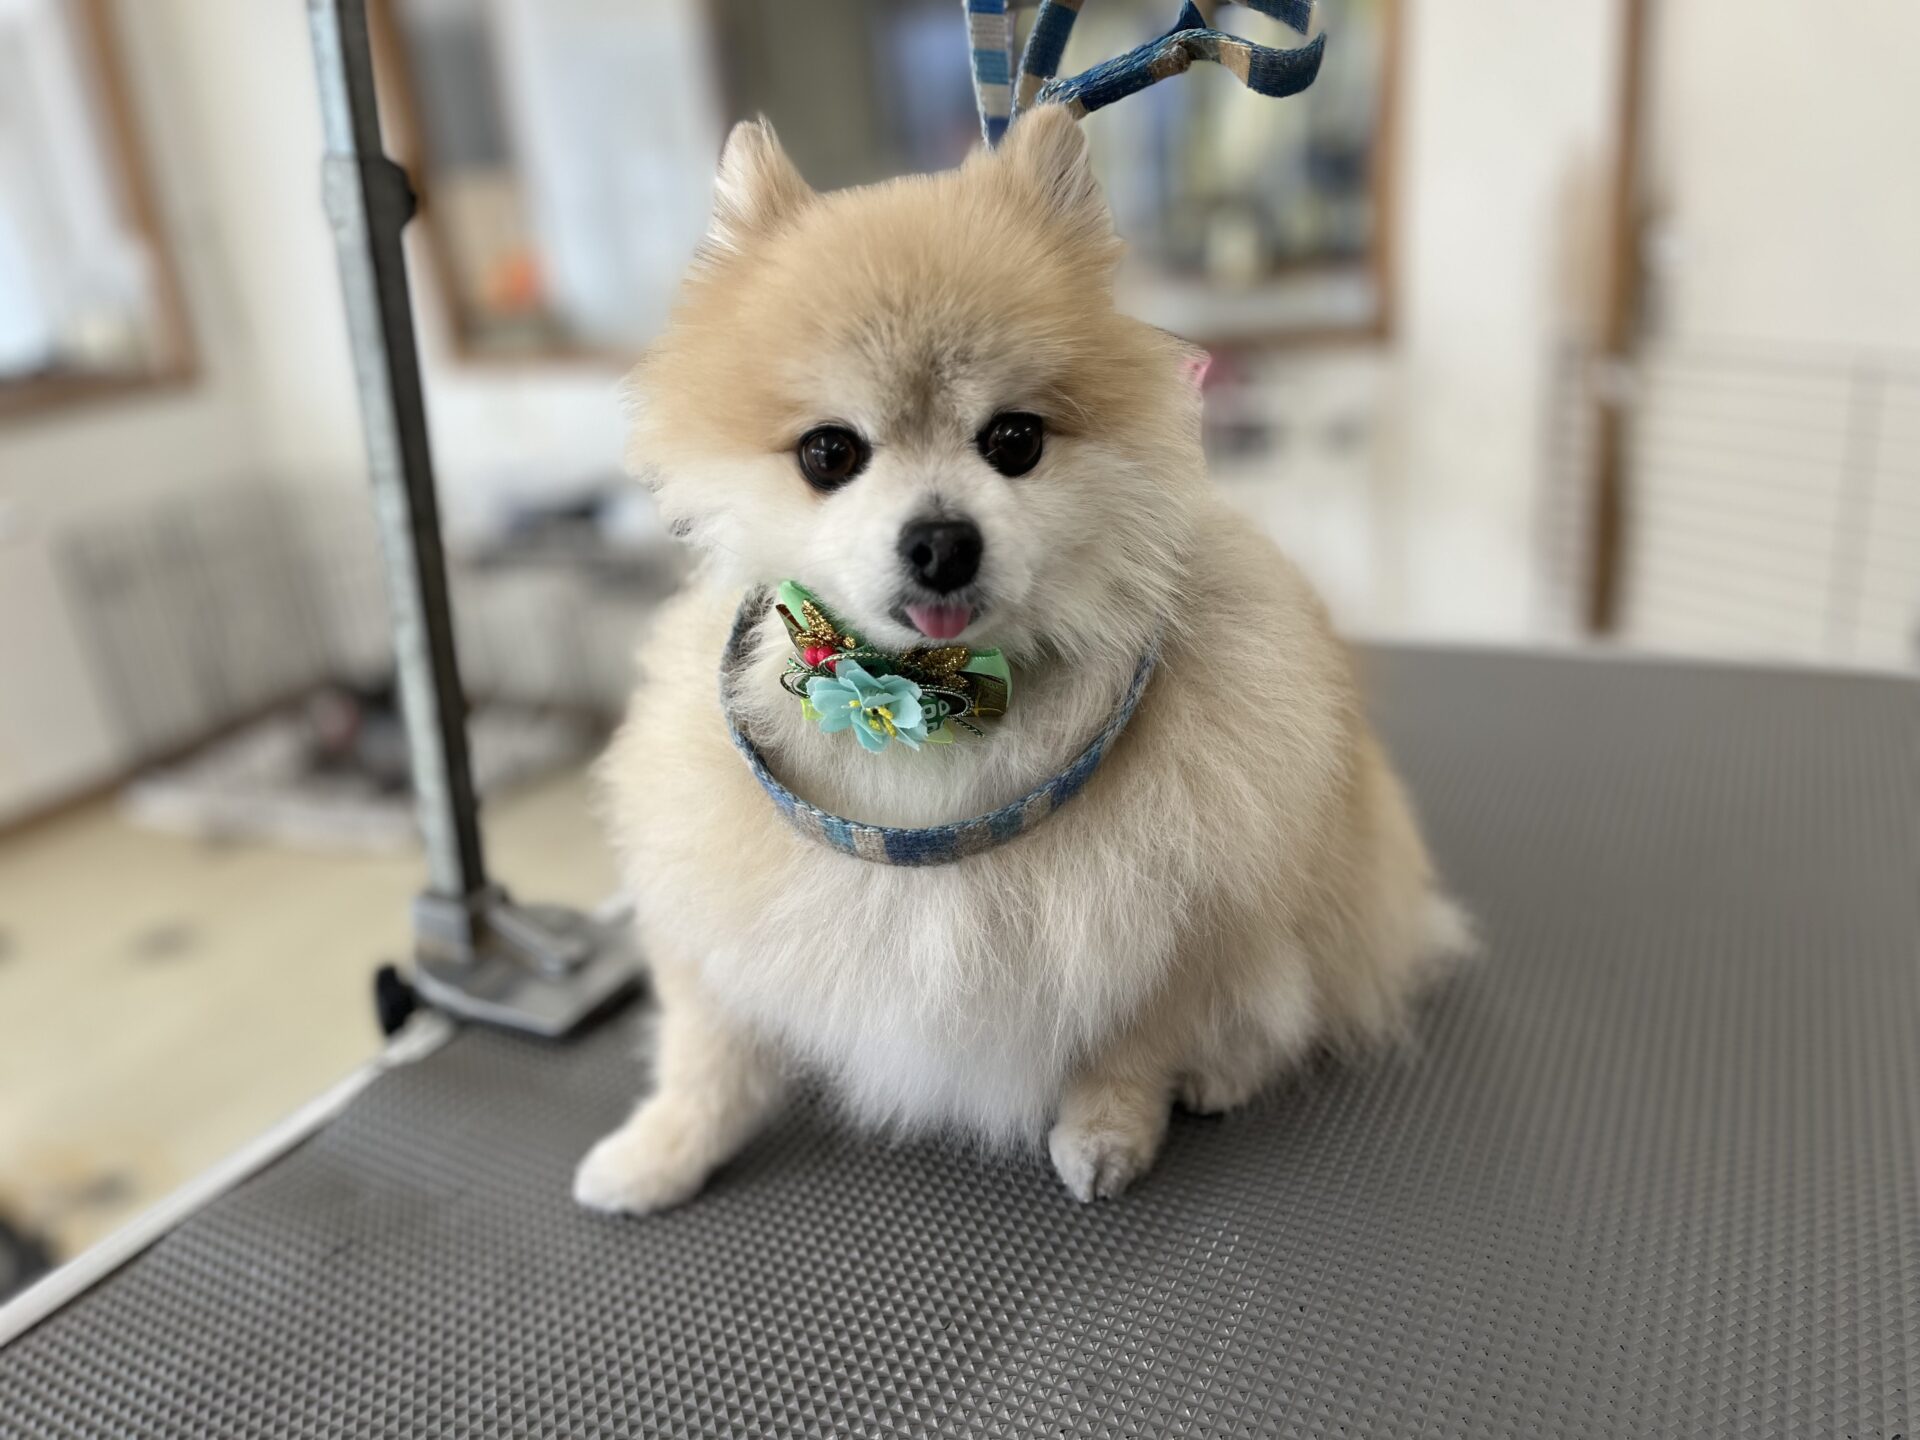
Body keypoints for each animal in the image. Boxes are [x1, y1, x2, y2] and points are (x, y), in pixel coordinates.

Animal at [575, 106, 1469, 1212]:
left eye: (1013, 439)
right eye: (829, 453)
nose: (940, 541)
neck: (929, 713)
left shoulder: (1172, 910)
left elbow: (1135, 1039)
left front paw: (1109, 1130)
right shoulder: (717, 892)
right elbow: (708, 1046)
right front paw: (661, 1148)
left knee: (1288, 994)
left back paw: (1222, 1069)